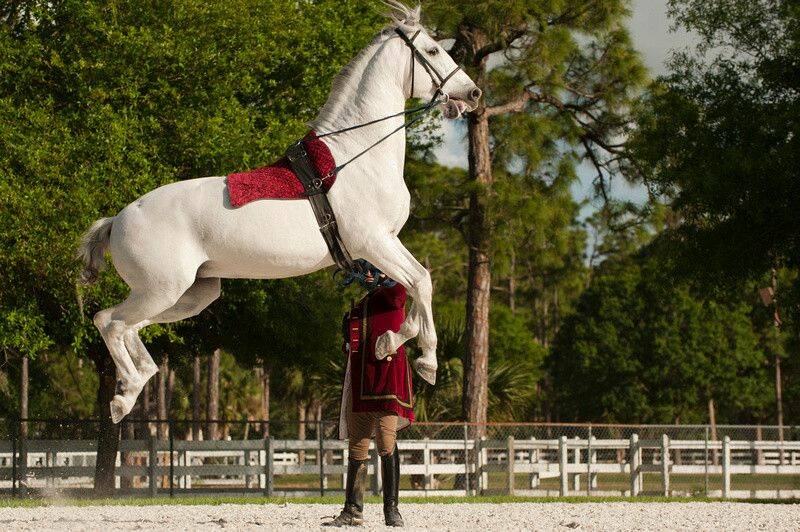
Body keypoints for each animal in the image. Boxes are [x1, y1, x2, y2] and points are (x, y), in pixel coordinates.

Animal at [78, 1, 482, 424]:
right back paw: (124, 396)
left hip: (190, 294)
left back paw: (134, 384)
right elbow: (422, 281)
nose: (473, 92)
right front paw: (427, 362)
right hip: (162, 289)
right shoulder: (373, 242)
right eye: (434, 50)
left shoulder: (384, 244)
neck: (355, 155)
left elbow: (415, 286)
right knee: (110, 322)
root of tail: (116, 221)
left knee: (128, 328)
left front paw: (389, 343)